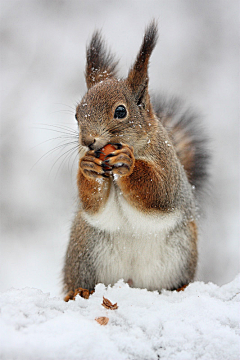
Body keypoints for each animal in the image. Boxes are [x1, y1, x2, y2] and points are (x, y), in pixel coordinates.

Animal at [62, 19, 208, 298]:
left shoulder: (168, 165)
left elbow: (158, 192)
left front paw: (128, 165)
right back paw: (79, 291)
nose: (88, 141)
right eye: (76, 115)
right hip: (84, 250)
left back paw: (181, 287)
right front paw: (87, 168)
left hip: (182, 250)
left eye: (121, 111)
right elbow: (93, 204)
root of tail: (133, 284)